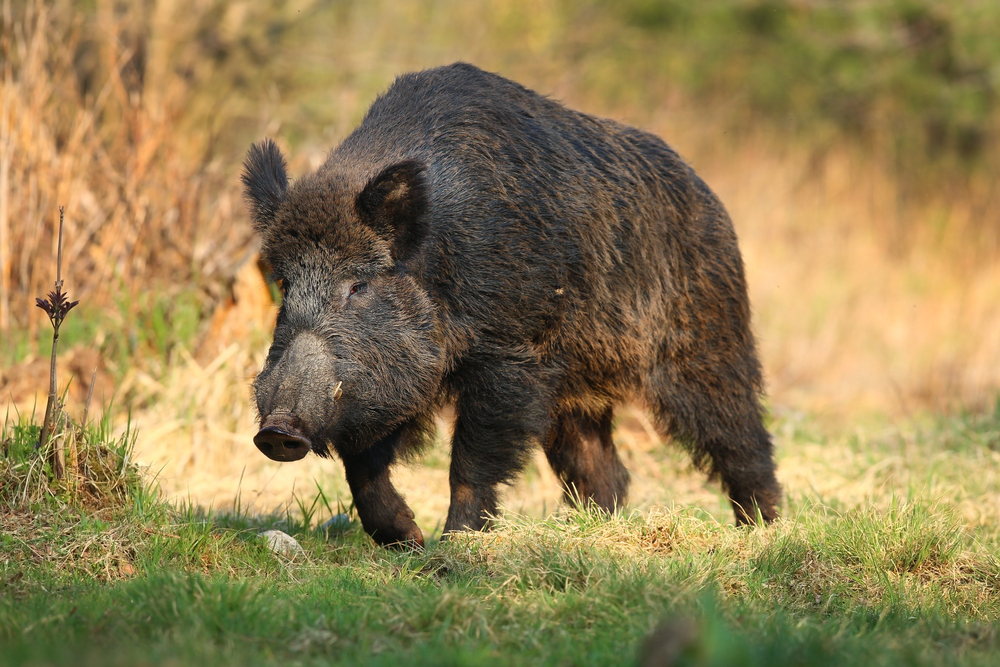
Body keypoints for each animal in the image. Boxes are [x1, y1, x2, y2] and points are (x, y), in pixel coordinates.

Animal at [242, 62, 780, 547]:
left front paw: (453, 546)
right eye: (284, 282)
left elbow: (470, 463)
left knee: (742, 439)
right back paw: (587, 534)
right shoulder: (397, 381)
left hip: (708, 345)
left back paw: (765, 532)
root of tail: (710, 198)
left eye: (357, 285)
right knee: (602, 467)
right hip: (576, 393)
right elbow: (362, 466)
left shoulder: (510, 356)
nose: (277, 431)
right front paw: (408, 540)